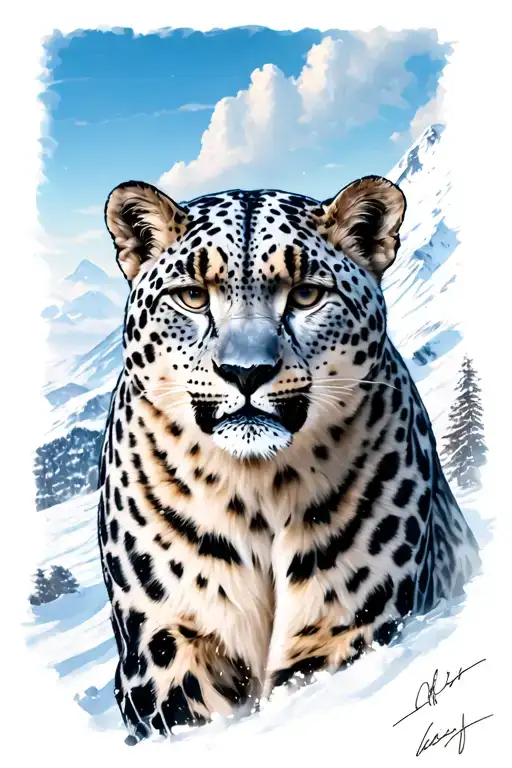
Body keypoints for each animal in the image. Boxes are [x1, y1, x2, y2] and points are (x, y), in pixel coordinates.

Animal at [98, 175, 480, 744]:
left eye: (305, 295)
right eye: (192, 296)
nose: (245, 372)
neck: (256, 491)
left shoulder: (351, 623)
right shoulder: (165, 646)